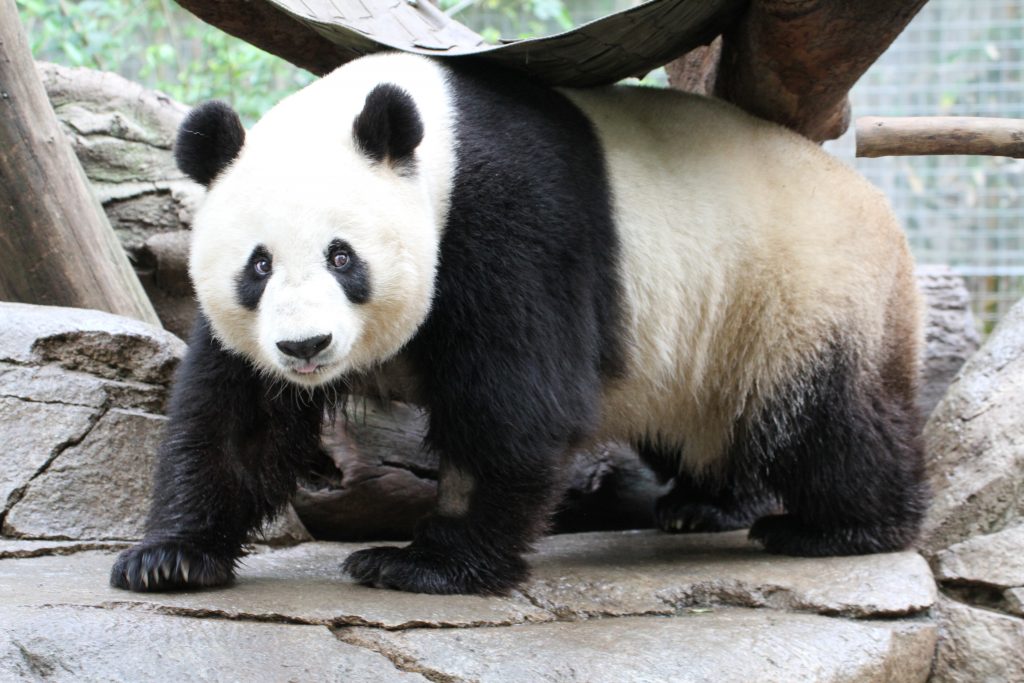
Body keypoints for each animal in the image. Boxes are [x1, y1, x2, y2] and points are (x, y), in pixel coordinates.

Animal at [110, 52, 929, 593]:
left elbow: (514, 403)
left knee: (831, 420)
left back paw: (843, 527)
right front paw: (169, 557)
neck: (431, 135)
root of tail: (876, 204)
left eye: (343, 257)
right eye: (258, 266)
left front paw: (424, 562)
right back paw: (707, 503)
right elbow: (237, 416)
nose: (305, 346)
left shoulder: (508, 219)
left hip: (800, 293)